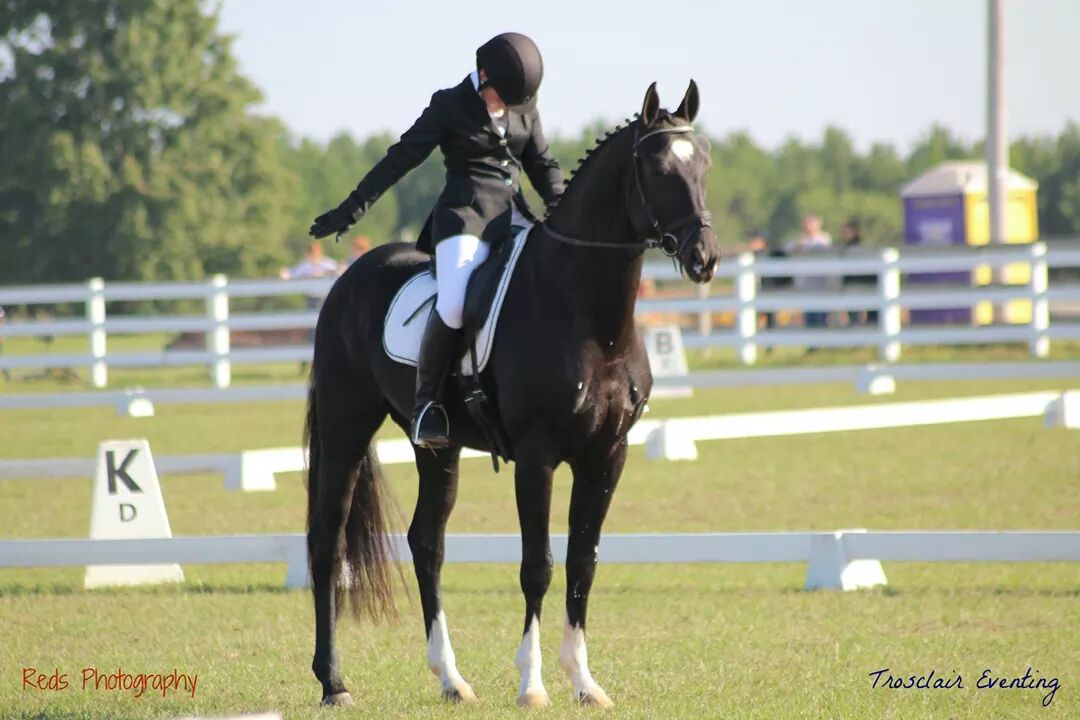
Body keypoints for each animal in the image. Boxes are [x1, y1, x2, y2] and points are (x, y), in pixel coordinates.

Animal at [304, 80, 719, 707]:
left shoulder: (607, 456)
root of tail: (350, 277)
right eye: (658, 168)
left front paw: (585, 684)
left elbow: (583, 563)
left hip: (438, 448)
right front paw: (532, 685)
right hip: (346, 426)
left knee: (426, 543)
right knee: (329, 543)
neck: (590, 317)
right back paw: (334, 683)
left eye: (704, 165)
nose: (705, 258)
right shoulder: (537, 456)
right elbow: (537, 566)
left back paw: (451, 679)